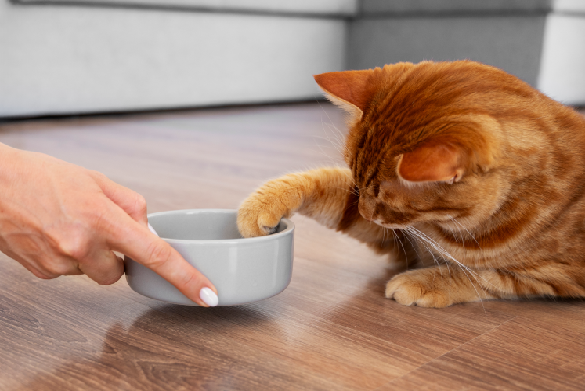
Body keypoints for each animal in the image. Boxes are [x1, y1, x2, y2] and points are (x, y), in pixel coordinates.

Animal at [235, 60, 580, 310]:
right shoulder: (399, 237)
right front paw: (264, 203)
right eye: (357, 182)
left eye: (385, 199)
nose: (365, 210)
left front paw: (426, 282)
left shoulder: (558, 276)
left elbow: (486, 277)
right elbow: (322, 182)